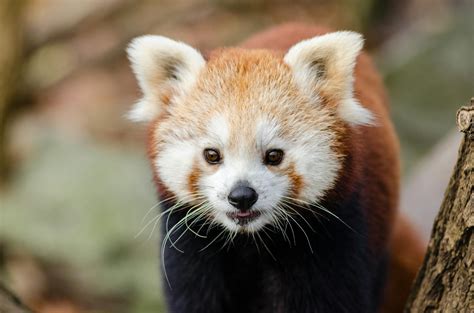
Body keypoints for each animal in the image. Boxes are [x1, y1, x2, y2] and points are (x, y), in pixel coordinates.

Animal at [128, 23, 424, 310]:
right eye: (212, 155)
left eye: (274, 156)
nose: (242, 196)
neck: (251, 241)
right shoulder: (189, 243)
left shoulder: (336, 235)